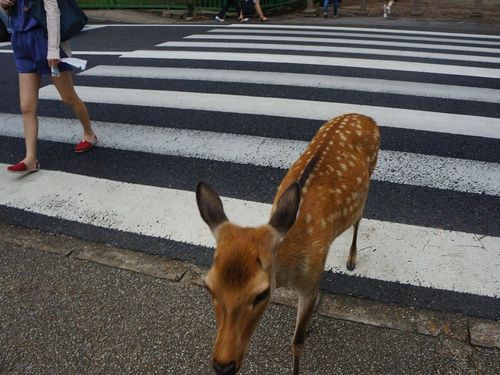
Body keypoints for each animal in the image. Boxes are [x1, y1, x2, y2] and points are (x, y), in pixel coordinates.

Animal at [195, 114, 378, 375]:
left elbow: (297, 342)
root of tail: (366, 117)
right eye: (208, 286)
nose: (223, 365)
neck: (291, 271)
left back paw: (351, 259)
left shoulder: (310, 279)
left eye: (262, 293)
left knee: (359, 217)